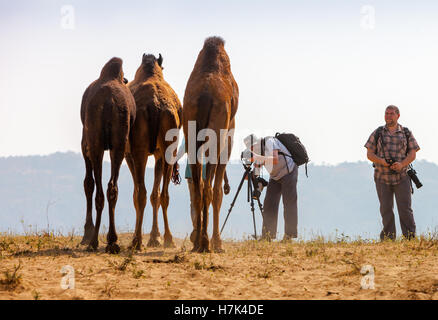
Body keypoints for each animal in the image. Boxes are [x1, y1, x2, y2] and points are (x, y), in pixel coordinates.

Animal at [79, 57, 136, 252]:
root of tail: (110, 102)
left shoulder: (85, 144)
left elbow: (88, 183)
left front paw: (86, 233)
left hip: (95, 141)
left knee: (98, 188)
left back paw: (94, 240)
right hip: (119, 141)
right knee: (112, 187)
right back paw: (112, 240)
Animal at [126, 52, 182, 250]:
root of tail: (155, 106)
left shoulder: (128, 154)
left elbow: (137, 194)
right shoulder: (158, 153)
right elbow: (155, 195)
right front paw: (155, 237)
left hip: (140, 150)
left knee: (141, 193)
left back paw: (136, 240)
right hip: (168, 147)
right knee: (163, 194)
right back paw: (168, 239)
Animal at [181, 37, 238, 252]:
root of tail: (205, 96)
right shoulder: (229, 134)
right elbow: (218, 192)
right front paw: (218, 242)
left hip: (190, 130)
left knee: (198, 187)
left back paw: (198, 241)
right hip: (217, 131)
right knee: (209, 189)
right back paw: (206, 242)